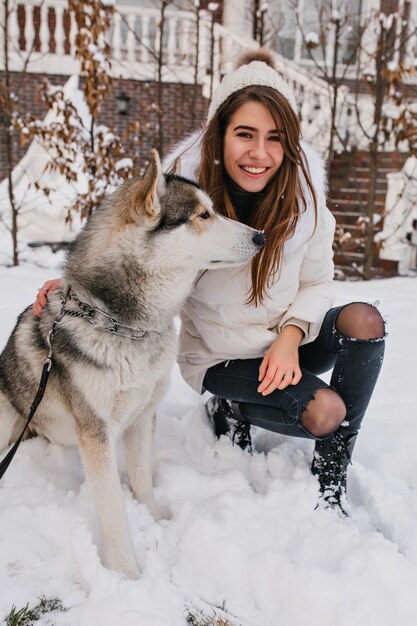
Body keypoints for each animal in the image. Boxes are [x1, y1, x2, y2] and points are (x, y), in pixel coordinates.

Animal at [0, 150, 264, 576]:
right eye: (202, 215)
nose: (261, 236)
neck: (124, 326)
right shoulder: (96, 434)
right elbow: (112, 511)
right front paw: (127, 573)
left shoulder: (142, 416)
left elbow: (141, 482)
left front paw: (155, 519)